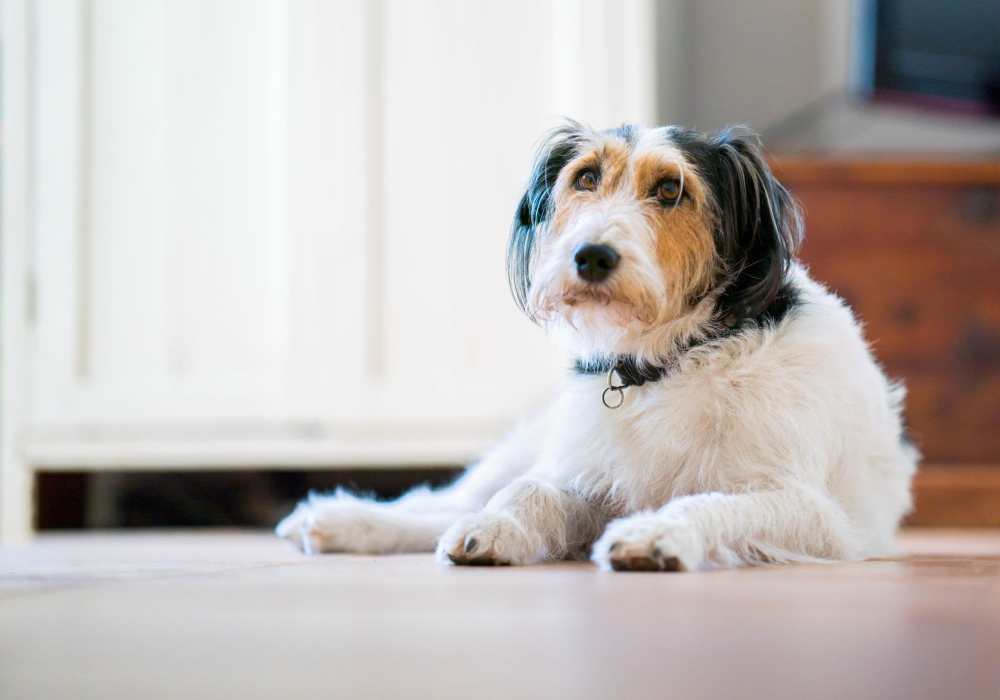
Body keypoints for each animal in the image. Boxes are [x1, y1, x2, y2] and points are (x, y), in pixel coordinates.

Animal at [278, 123, 916, 572]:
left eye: (671, 189)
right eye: (585, 177)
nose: (590, 256)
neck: (668, 364)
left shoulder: (810, 510)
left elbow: (711, 503)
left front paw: (655, 534)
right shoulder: (587, 473)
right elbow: (531, 491)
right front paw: (498, 529)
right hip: (534, 443)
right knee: (449, 497)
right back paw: (339, 520)